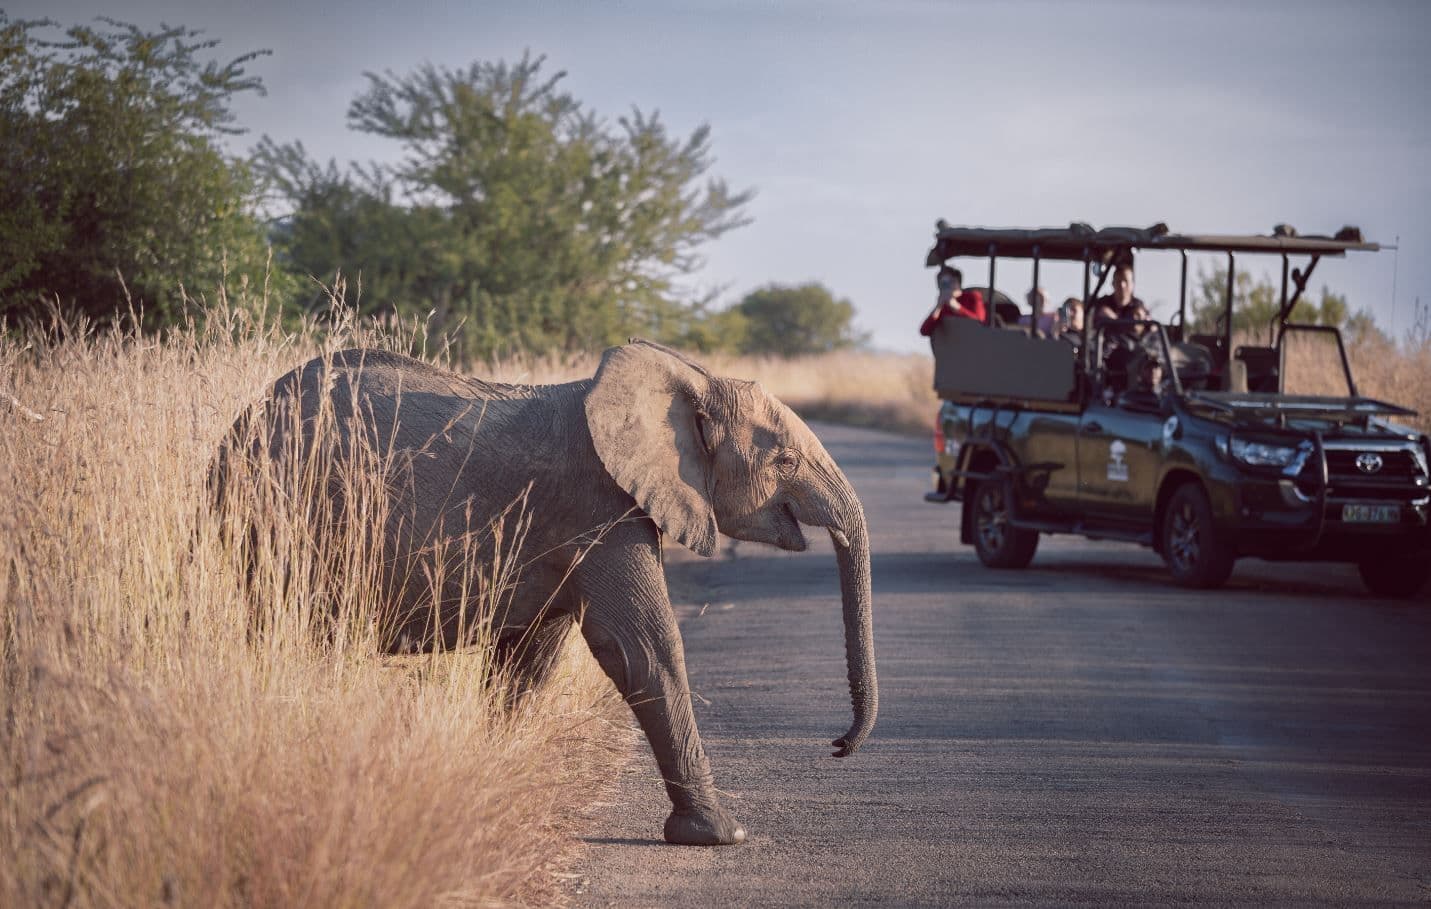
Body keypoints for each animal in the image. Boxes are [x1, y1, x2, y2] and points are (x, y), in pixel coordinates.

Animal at [213, 340, 875, 847]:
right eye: (784, 460)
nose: (837, 746)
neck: (686, 378)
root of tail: (234, 430)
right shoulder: (601, 506)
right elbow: (642, 648)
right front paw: (718, 836)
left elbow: (530, 656)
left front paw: (491, 780)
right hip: (281, 519)